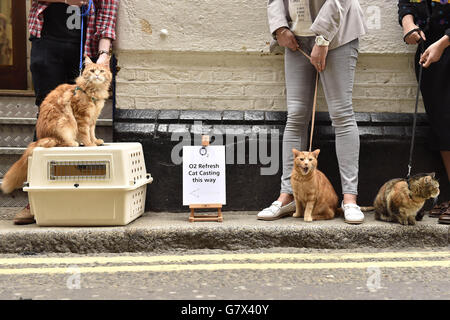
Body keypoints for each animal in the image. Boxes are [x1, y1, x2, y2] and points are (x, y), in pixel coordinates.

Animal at [1, 56, 111, 194]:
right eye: (92, 71)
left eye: (101, 71)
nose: (96, 75)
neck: (94, 92)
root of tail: (41, 138)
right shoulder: (81, 118)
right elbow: (85, 134)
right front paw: (90, 144)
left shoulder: (92, 119)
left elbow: (92, 132)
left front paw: (95, 141)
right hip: (64, 124)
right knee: (60, 143)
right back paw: (73, 143)